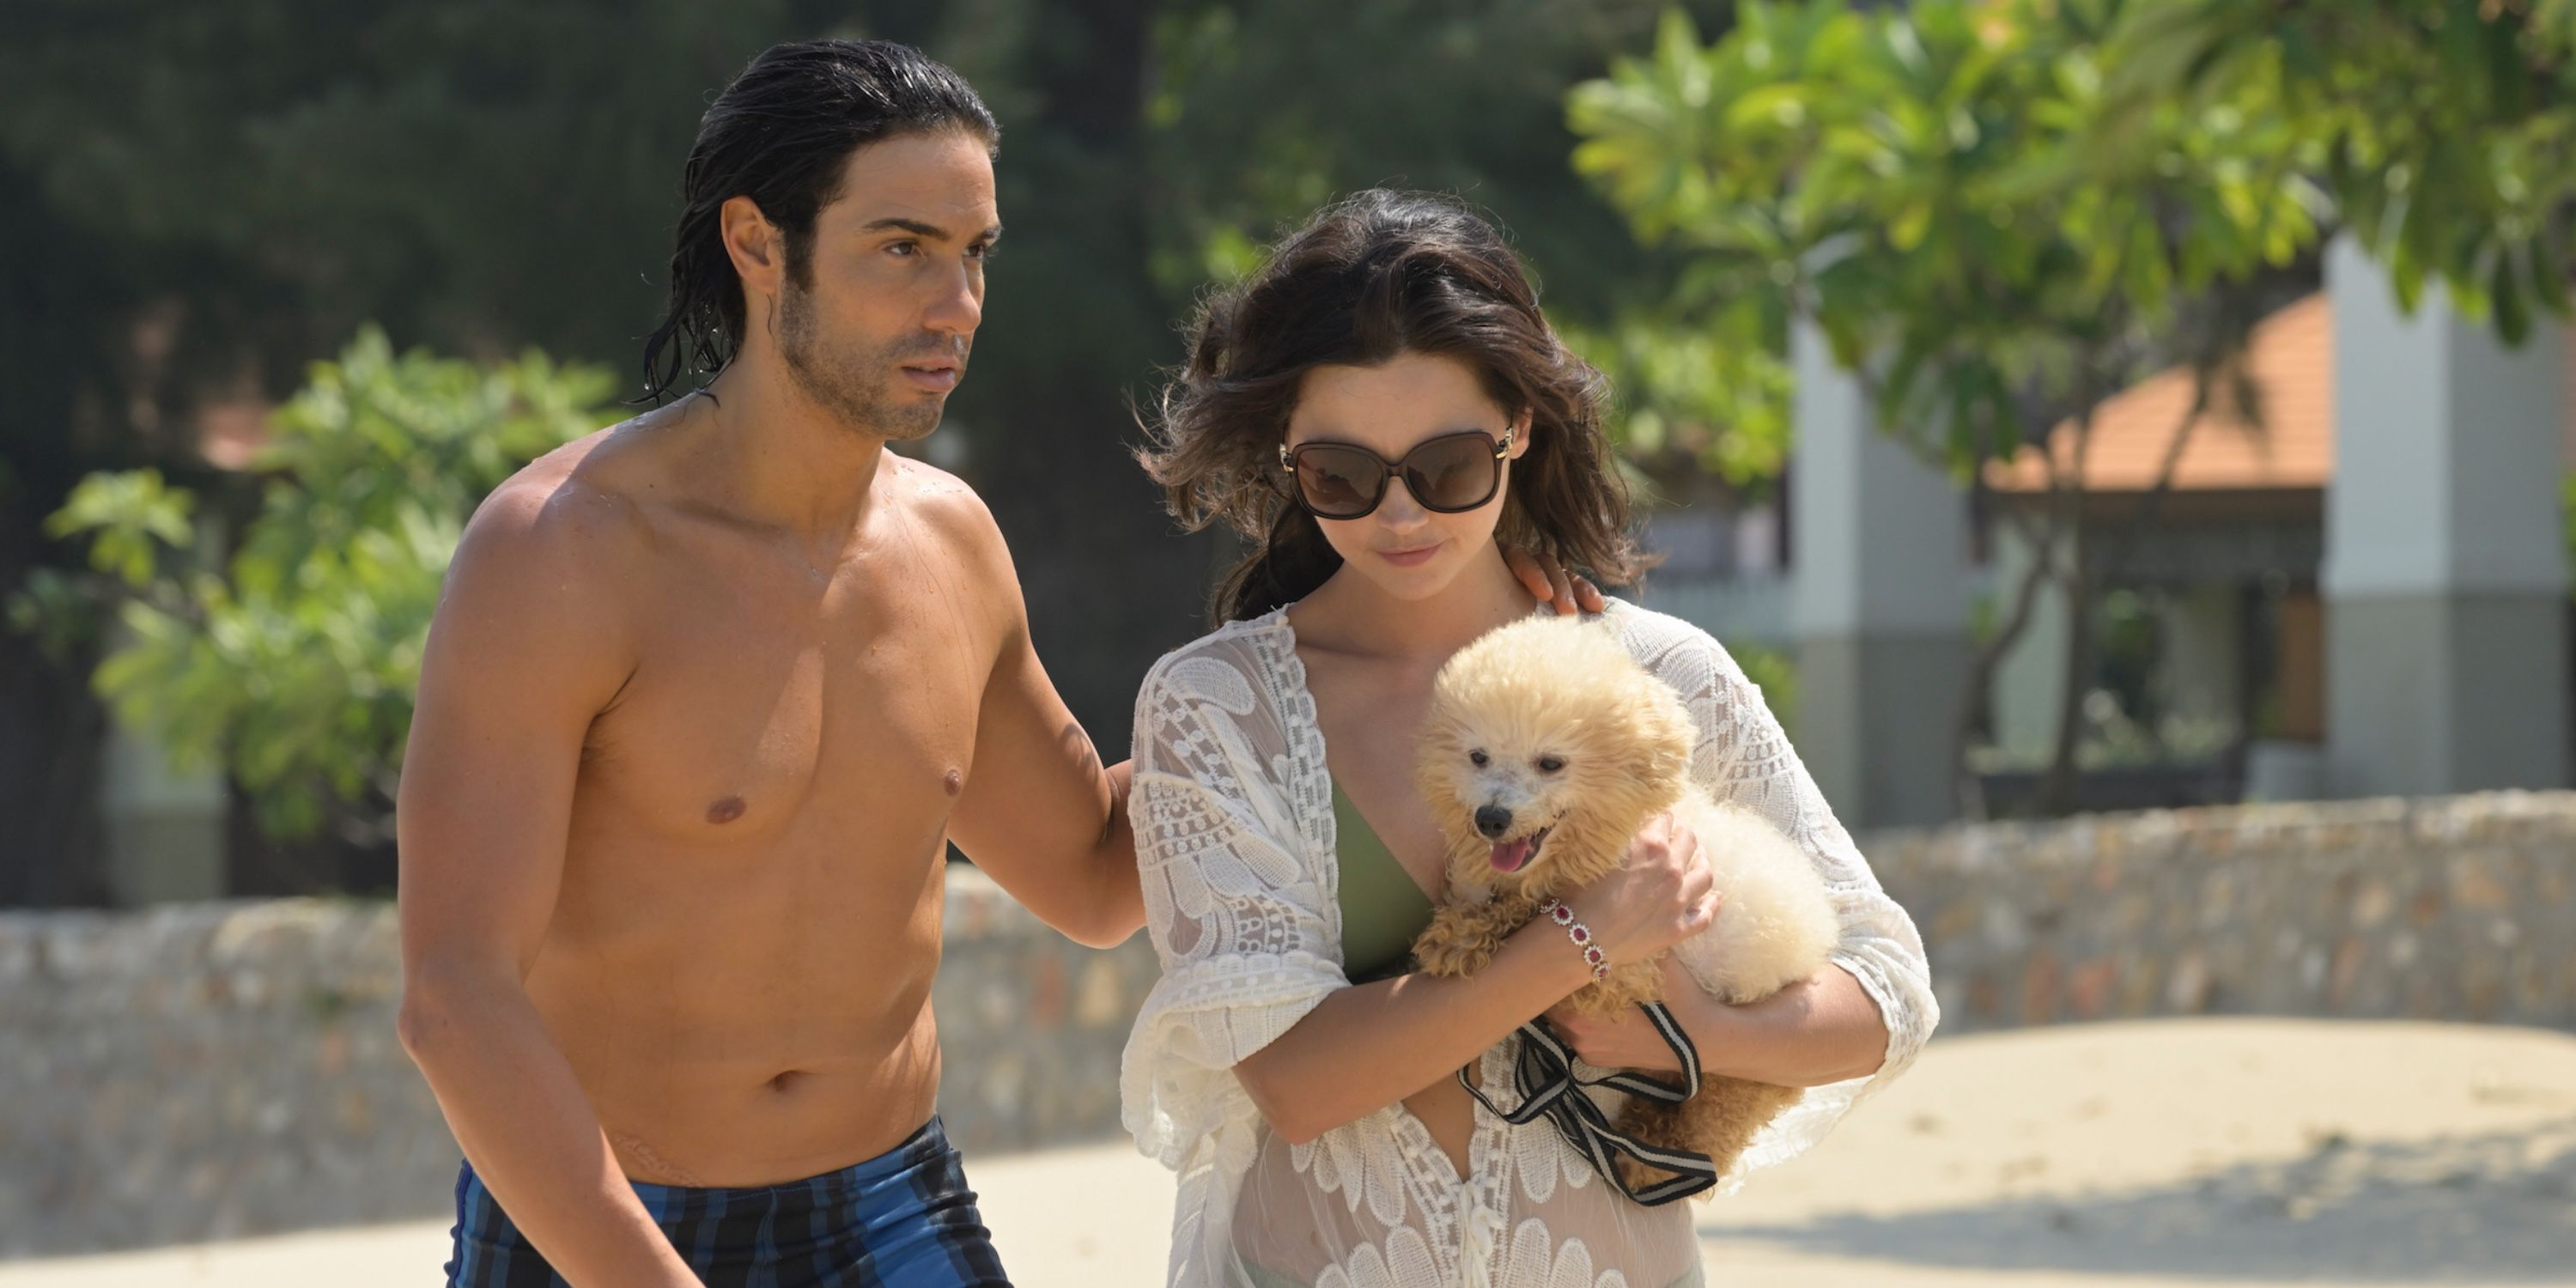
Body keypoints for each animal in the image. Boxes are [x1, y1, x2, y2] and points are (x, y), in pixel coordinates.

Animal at [1412, 613, 1834, 1185]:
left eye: (1551, 763)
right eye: (1478, 757)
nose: (1491, 818)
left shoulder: (1622, 975)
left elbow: (1532, 913)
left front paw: (1462, 938)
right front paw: (1464, 922)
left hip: (1743, 1071)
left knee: (1714, 1122)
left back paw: (1650, 1161)